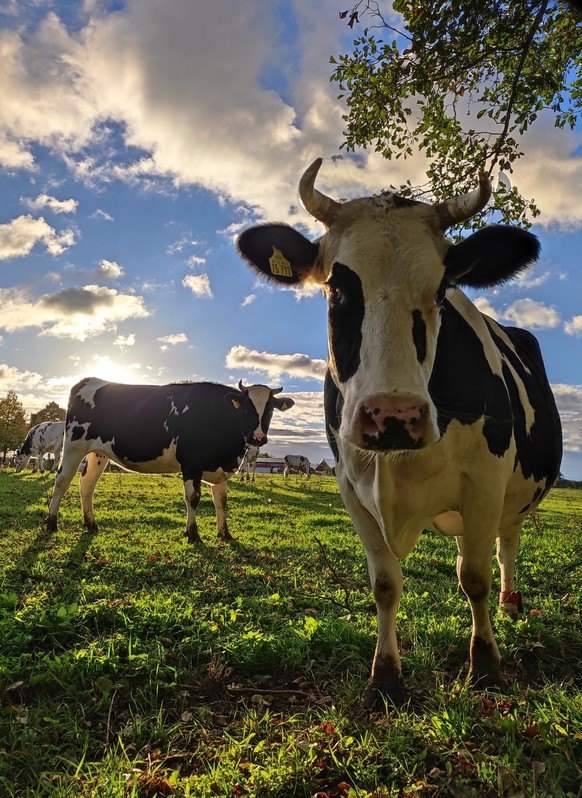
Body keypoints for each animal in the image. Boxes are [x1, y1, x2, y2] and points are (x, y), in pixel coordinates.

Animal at [45, 380, 294, 544]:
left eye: (270, 410)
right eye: (246, 408)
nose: (258, 437)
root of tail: (90, 380)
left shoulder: (220, 469)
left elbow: (222, 501)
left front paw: (225, 533)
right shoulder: (191, 463)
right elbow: (193, 498)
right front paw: (192, 534)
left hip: (98, 454)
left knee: (87, 485)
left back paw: (91, 524)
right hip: (74, 445)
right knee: (62, 481)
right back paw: (51, 523)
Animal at [238, 159, 564, 708]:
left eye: (441, 290)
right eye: (337, 289)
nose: (393, 415)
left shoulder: (484, 481)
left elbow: (474, 579)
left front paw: (486, 666)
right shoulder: (351, 486)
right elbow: (386, 585)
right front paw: (385, 677)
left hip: (513, 495)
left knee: (504, 547)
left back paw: (509, 602)